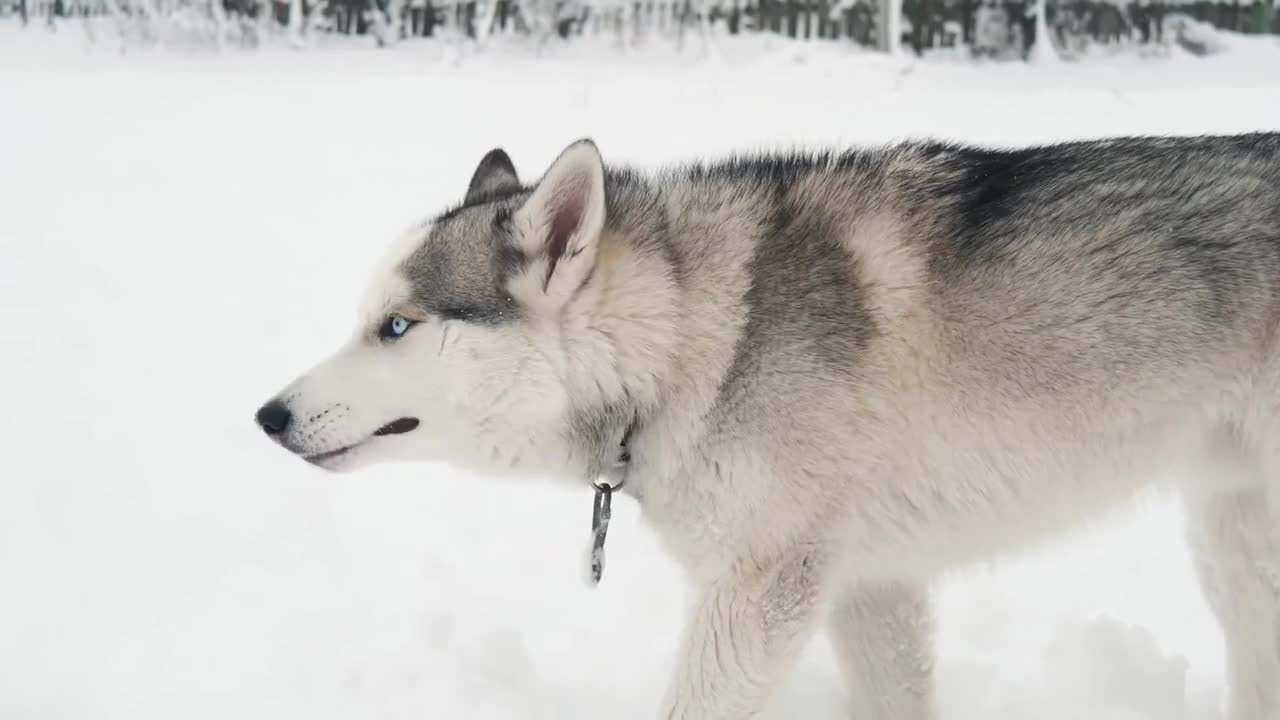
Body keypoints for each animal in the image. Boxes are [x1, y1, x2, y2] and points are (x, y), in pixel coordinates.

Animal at [257, 133, 1280, 712]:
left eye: (397, 326)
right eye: (368, 319)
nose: (267, 415)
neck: (690, 339)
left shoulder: (760, 594)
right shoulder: (872, 587)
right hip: (1235, 548)